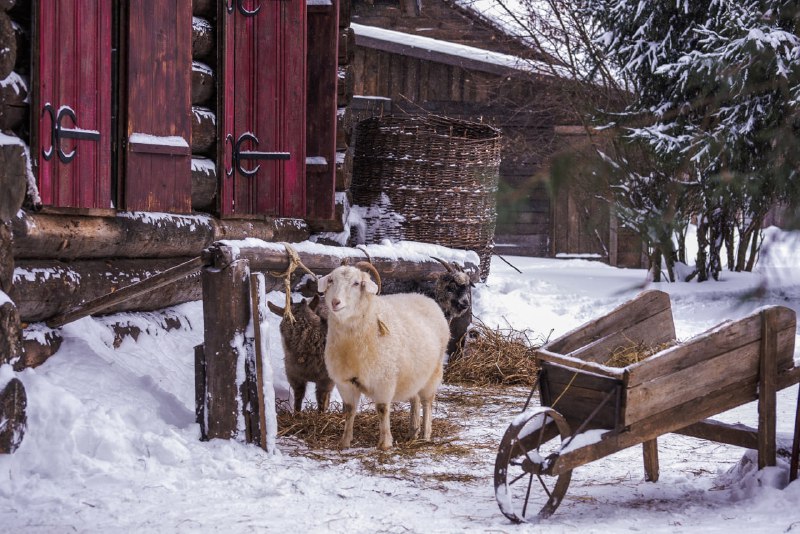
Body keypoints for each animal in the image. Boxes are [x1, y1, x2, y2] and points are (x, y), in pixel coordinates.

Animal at [316, 264, 450, 452]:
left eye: (356, 283)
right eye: (331, 280)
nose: (335, 302)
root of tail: (424, 297)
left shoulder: (384, 380)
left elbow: (382, 410)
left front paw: (385, 443)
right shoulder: (345, 382)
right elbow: (350, 410)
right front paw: (345, 441)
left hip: (433, 371)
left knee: (427, 402)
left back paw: (425, 434)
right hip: (414, 374)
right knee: (415, 399)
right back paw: (413, 431)